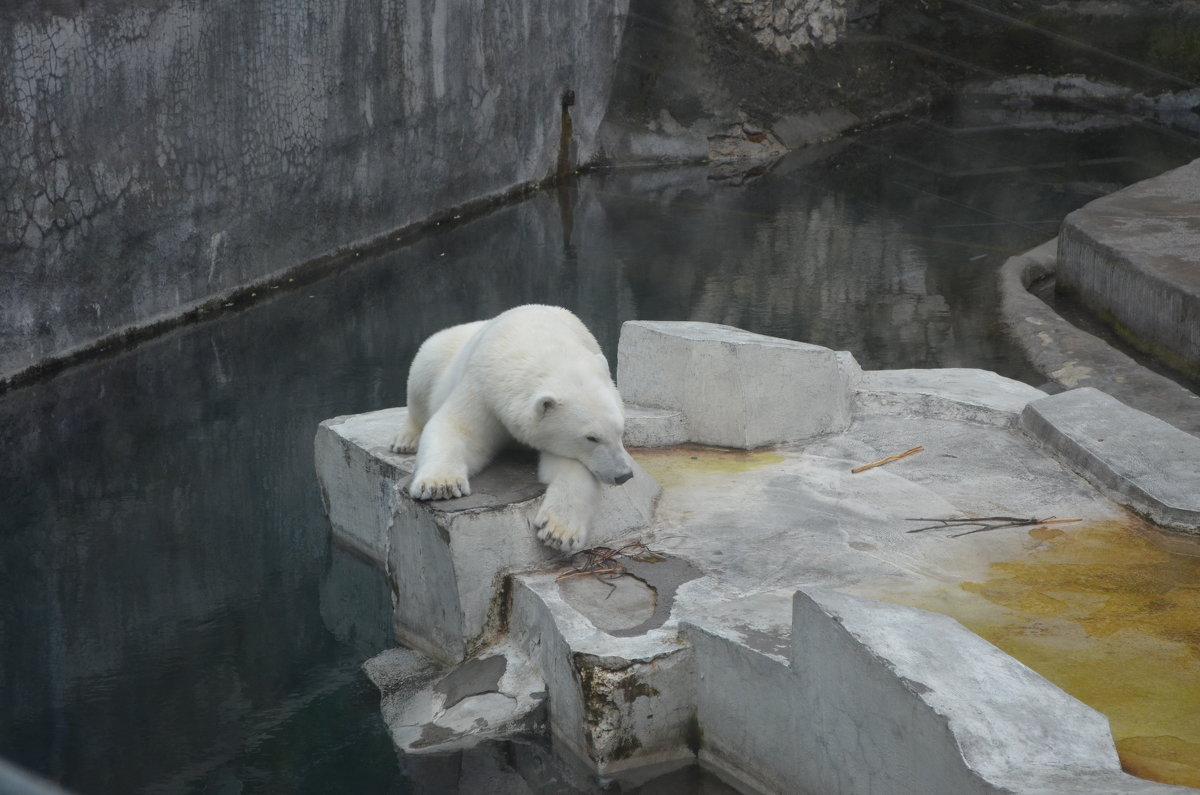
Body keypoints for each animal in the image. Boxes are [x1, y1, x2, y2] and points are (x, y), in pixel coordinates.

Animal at [393, 305, 638, 554]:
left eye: (620, 431)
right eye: (591, 438)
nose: (624, 475)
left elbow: (568, 464)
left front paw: (558, 531)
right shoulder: (483, 388)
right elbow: (456, 427)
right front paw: (440, 485)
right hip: (440, 352)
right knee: (421, 379)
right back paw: (406, 439)